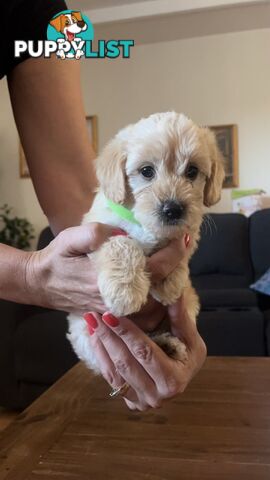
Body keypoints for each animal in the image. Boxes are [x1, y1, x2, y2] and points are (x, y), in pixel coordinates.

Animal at [67, 111, 224, 372]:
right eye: (147, 171)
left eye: (192, 171)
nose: (173, 209)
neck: (144, 224)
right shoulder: (96, 230)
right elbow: (121, 244)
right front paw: (126, 291)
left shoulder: (188, 231)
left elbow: (180, 251)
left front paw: (170, 282)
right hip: (83, 330)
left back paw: (168, 345)